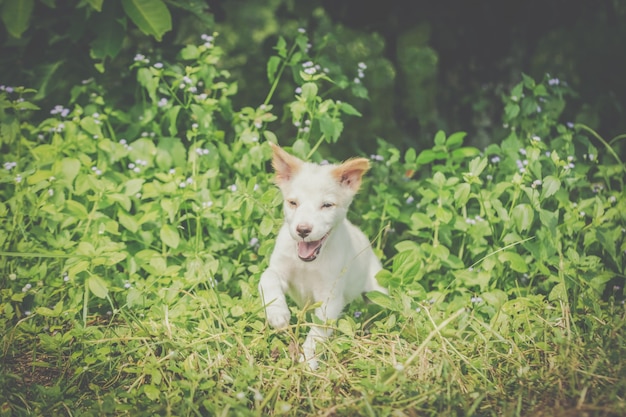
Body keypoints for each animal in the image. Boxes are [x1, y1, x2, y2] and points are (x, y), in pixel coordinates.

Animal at [255, 142, 382, 368]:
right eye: (293, 203)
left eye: (327, 205)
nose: (303, 230)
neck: (308, 263)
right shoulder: (280, 271)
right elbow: (267, 278)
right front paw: (277, 312)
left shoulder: (329, 299)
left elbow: (317, 333)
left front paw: (308, 362)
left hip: (377, 289)